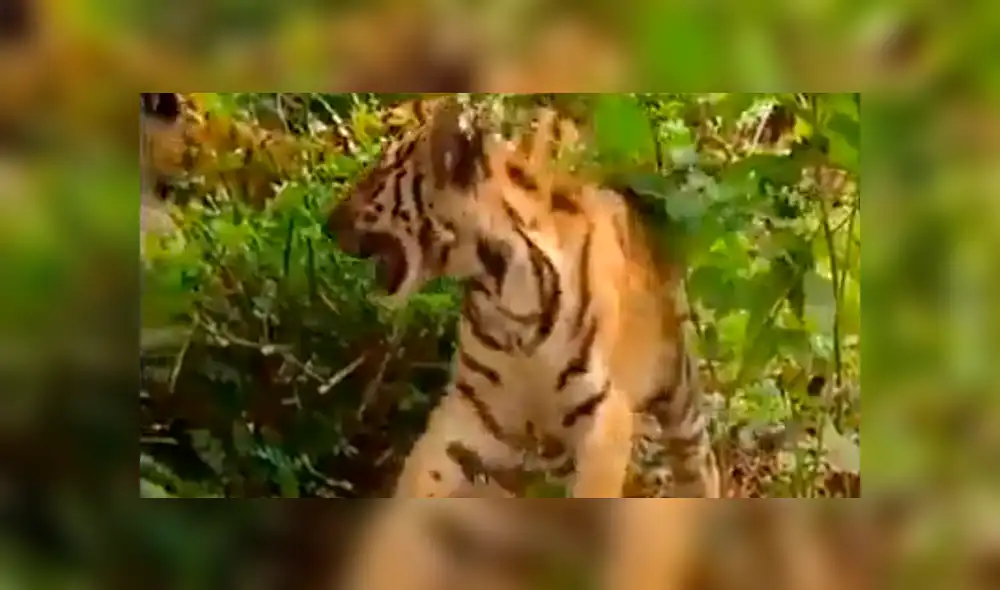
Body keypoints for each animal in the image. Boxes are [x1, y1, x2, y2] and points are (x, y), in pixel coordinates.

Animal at [325, 96, 720, 590]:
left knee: (700, 466)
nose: (326, 223)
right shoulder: (471, 415)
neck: (504, 292)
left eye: (377, 177)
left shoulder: (604, 415)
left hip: (678, 394)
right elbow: (411, 497)